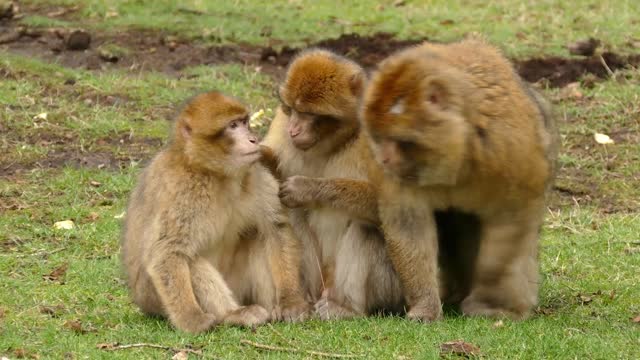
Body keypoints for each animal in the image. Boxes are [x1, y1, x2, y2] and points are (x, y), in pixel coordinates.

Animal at [121, 91, 312, 334]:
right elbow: (167, 252)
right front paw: (191, 319)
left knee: (260, 237)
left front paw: (290, 301)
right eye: (232, 126)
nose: (253, 139)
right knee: (191, 260)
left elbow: (275, 228)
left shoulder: (255, 171)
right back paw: (233, 314)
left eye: (244, 122)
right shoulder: (180, 191)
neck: (215, 174)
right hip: (153, 298)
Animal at [258, 49, 400, 320]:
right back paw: (299, 300)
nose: (294, 130)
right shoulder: (280, 124)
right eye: (292, 109)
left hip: (387, 287)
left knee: (366, 229)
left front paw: (306, 188)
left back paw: (347, 309)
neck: (330, 144)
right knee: (292, 217)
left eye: (309, 114)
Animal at [360, 37, 560, 320]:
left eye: (401, 141)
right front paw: (425, 307)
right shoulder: (401, 176)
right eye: (378, 136)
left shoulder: (509, 149)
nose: (384, 160)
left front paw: (488, 300)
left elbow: (512, 217)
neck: (458, 153)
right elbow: (409, 225)